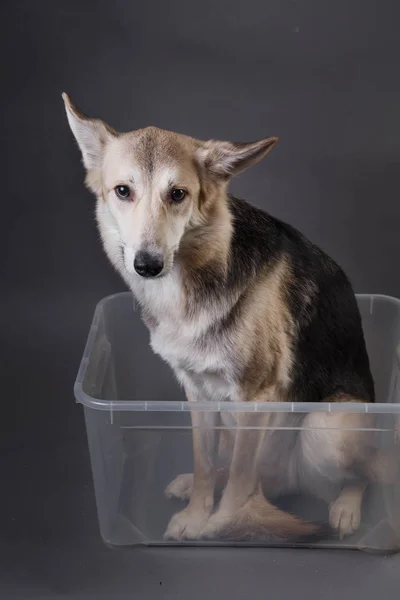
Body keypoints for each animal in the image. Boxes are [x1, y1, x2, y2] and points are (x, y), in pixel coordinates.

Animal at [64, 95, 396, 544]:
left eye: (178, 194)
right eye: (122, 191)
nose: (147, 265)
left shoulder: (254, 399)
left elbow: (239, 485)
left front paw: (220, 526)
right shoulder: (197, 394)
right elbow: (205, 465)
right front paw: (197, 512)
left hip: (323, 431)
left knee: (360, 472)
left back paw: (345, 507)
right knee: (249, 476)